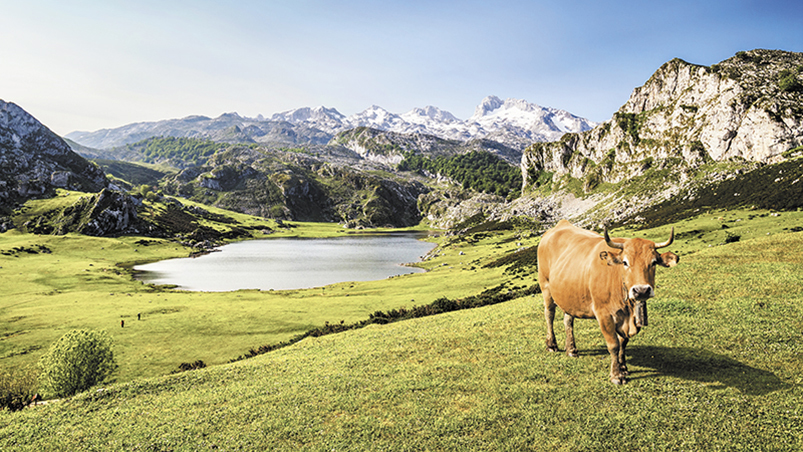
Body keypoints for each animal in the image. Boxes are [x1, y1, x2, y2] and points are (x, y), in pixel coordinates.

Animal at [540, 221, 680, 384]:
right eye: (625, 262)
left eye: (653, 263)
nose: (641, 290)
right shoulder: (603, 314)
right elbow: (613, 344)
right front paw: (616, 375)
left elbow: (623, 343)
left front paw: (623, 367)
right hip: (546, 287)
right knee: (549, 314)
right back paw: (551, 344)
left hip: (569, 295)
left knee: (568, 320)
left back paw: (571, 349)